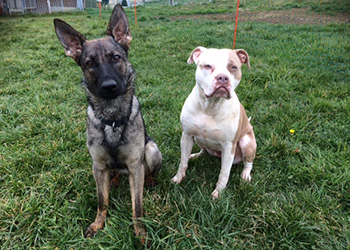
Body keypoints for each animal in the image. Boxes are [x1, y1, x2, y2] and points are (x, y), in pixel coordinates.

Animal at [53, 4, 163, 245]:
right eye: (90, 63)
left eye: (115, 58)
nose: (109, 86)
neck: (112, 118)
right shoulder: (98, 165)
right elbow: (101, 201)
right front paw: (98, 224)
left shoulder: (135, 165)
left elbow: (137, 207)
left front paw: (140, 232)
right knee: (114, 175)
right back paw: (114, 180)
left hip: (150, 149)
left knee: (148, 170)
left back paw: (149, 180)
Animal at [172, 46, 258, 199]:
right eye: (207, 66)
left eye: (233, 67)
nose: (223, 77)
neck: (210, 107)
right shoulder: (186, 136)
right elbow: (183, 162)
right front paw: (178, 178)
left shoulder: (228, 147)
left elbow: (224, 174)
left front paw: (218, 193)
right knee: (204, 150)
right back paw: (195, 155)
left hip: (246, 142)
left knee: (248, 162)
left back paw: (245, 175)